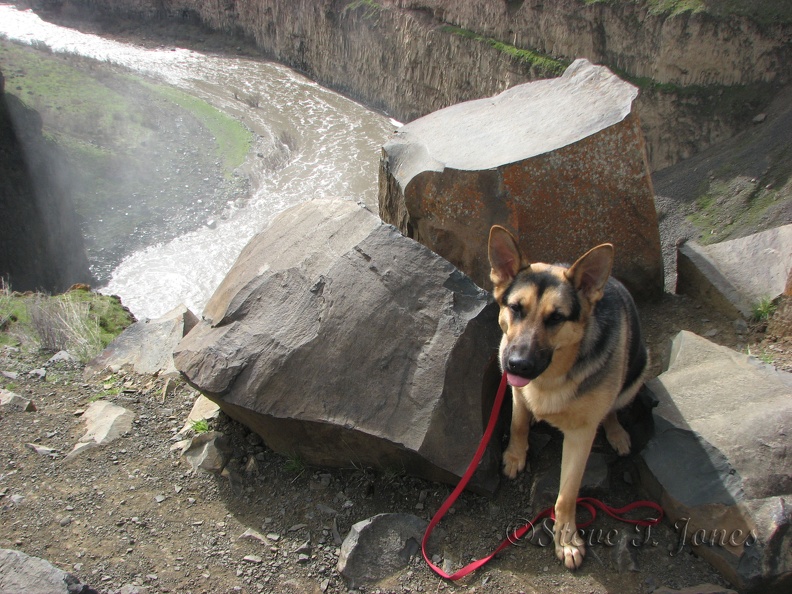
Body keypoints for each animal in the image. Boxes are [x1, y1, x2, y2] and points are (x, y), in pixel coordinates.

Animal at [488, 224, 648, 568]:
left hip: (637, 371)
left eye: (556, 318)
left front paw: (566, 539)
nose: (517, 364)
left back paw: (616, 432)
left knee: (613, 408)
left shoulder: (581, 435)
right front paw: (515, 455)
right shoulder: (516, 390)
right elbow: (518, 423)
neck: (551, 377)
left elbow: (567, 494)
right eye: (515, 308)